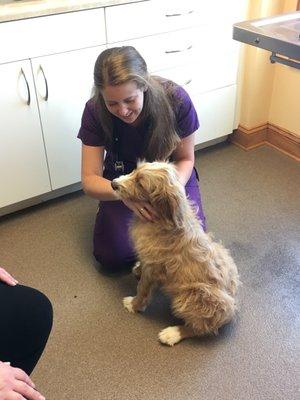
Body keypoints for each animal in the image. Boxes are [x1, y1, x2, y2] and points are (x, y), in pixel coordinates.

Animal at [111, 161, 240, 346]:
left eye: (140, 184)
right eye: (135, 170)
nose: (113, 184)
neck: (160, 220)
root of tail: (232, 306)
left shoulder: (153, 268)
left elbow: (142, 288)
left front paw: (134, 304)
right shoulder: (148, 260)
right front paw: (137, 269)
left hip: (195, 296)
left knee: (201, 328)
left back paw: (173, 333)